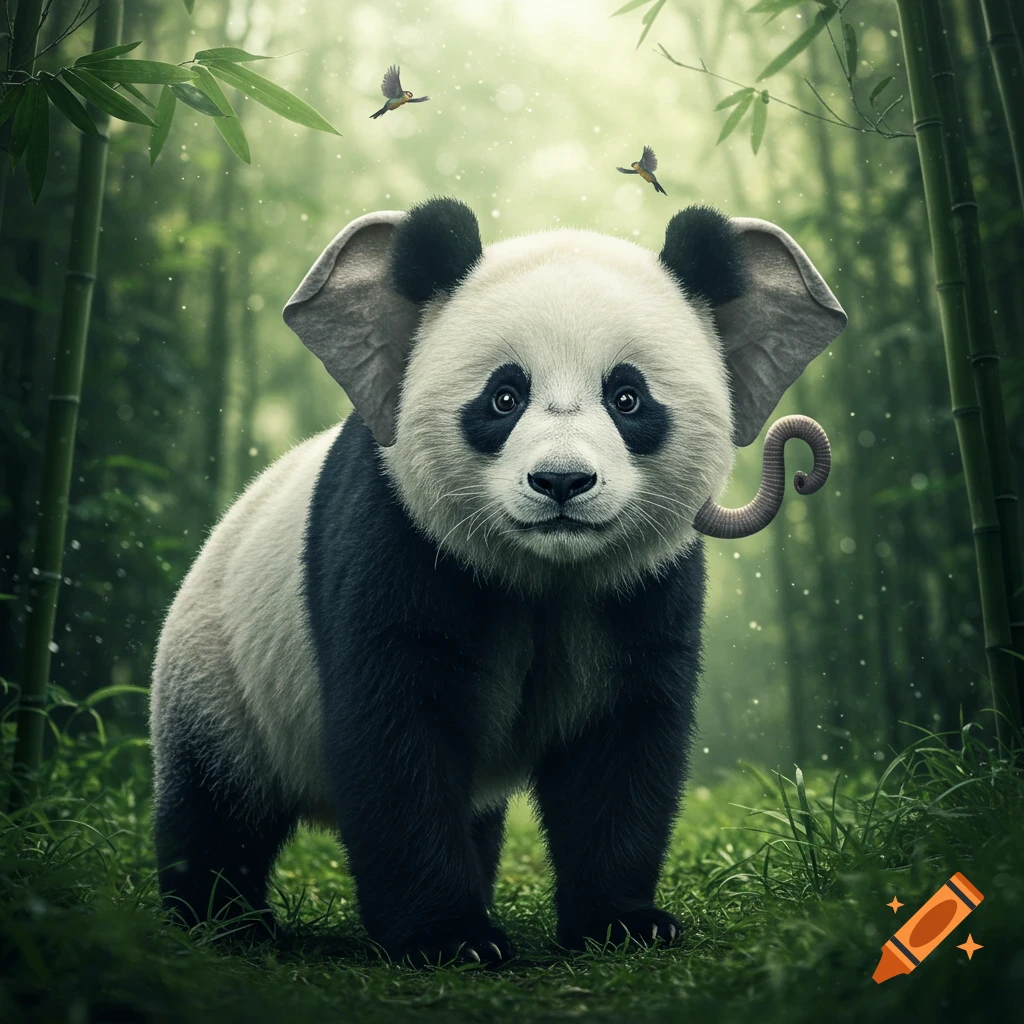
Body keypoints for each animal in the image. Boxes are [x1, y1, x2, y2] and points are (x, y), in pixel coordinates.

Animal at [149, 197, 846, 964]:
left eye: (628, 397)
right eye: (504, 396)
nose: (562, 482)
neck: (546, 570)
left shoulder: (645, 584)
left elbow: (623, 735)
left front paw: (625, 925)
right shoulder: (394, 536)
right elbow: (397, 730)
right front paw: (449, 940)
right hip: (222, 675)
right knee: (216, 806)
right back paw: (225, 919)